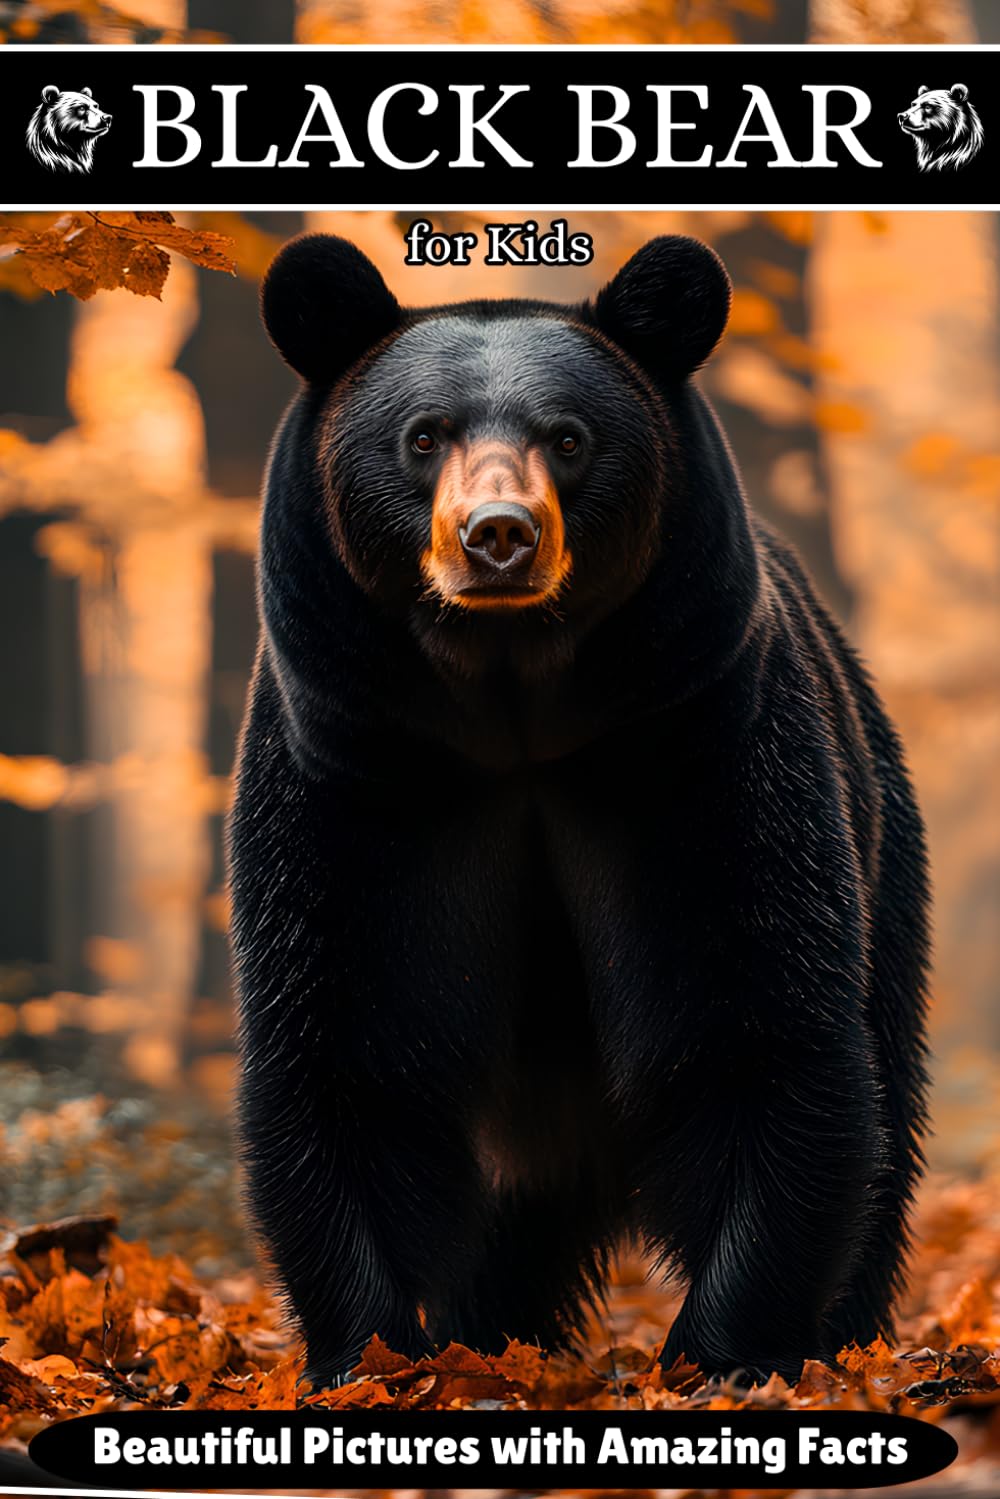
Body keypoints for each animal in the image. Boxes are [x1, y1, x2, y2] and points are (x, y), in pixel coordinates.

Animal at [229, 232, 931, 1391]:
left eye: (567, 437)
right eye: (422, 436)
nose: (497, 536)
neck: (515, 714)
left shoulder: (695, 758)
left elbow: (758, 1024)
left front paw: (718, 1350)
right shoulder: (362, 779)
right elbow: (349, 1040)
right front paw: (373, 1351)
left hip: (882, 842)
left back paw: (852, 1336)